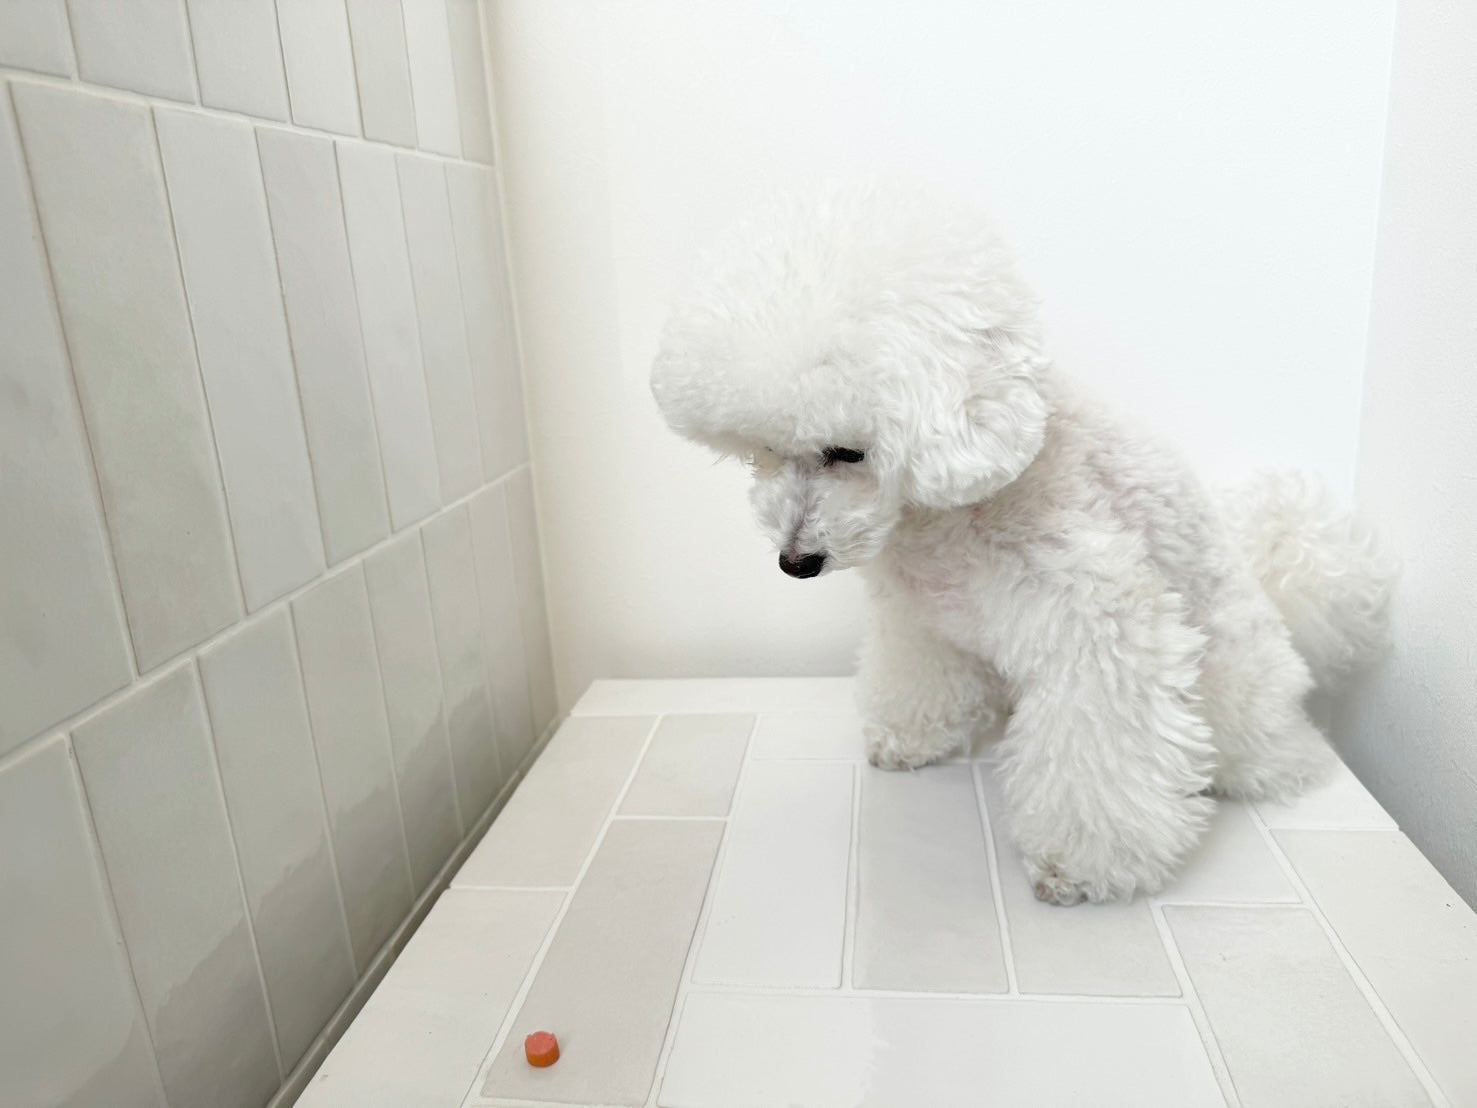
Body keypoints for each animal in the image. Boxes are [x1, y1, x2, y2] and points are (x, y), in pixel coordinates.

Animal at [649, 186, 1393, 904]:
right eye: (763, 450)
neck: (945, 513)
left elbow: (1099, 752)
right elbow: (918, 679)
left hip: (1235, 681)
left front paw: (1080, 867)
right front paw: (909, 739)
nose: (795, 562)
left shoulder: (1102, 628)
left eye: (847, 452)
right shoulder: (922, 622)